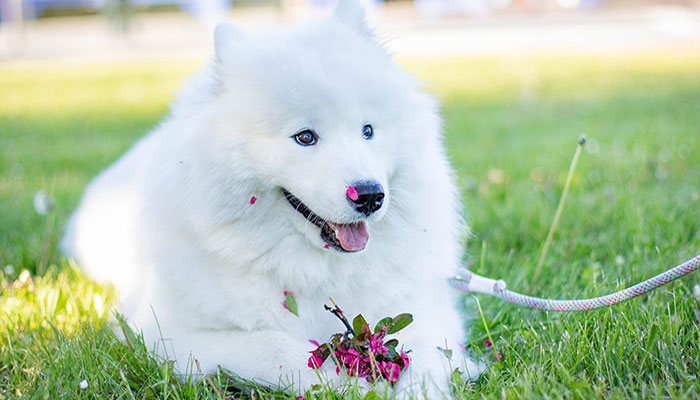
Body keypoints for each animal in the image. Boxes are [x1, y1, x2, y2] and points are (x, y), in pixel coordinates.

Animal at [61, 0, 482, 396]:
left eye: (368, 131)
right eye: (305, 137)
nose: (369, 195)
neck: (313, 269)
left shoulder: (428, 310)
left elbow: (426, 356)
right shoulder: (170, 335)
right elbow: (278, 349)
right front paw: (353, 388)